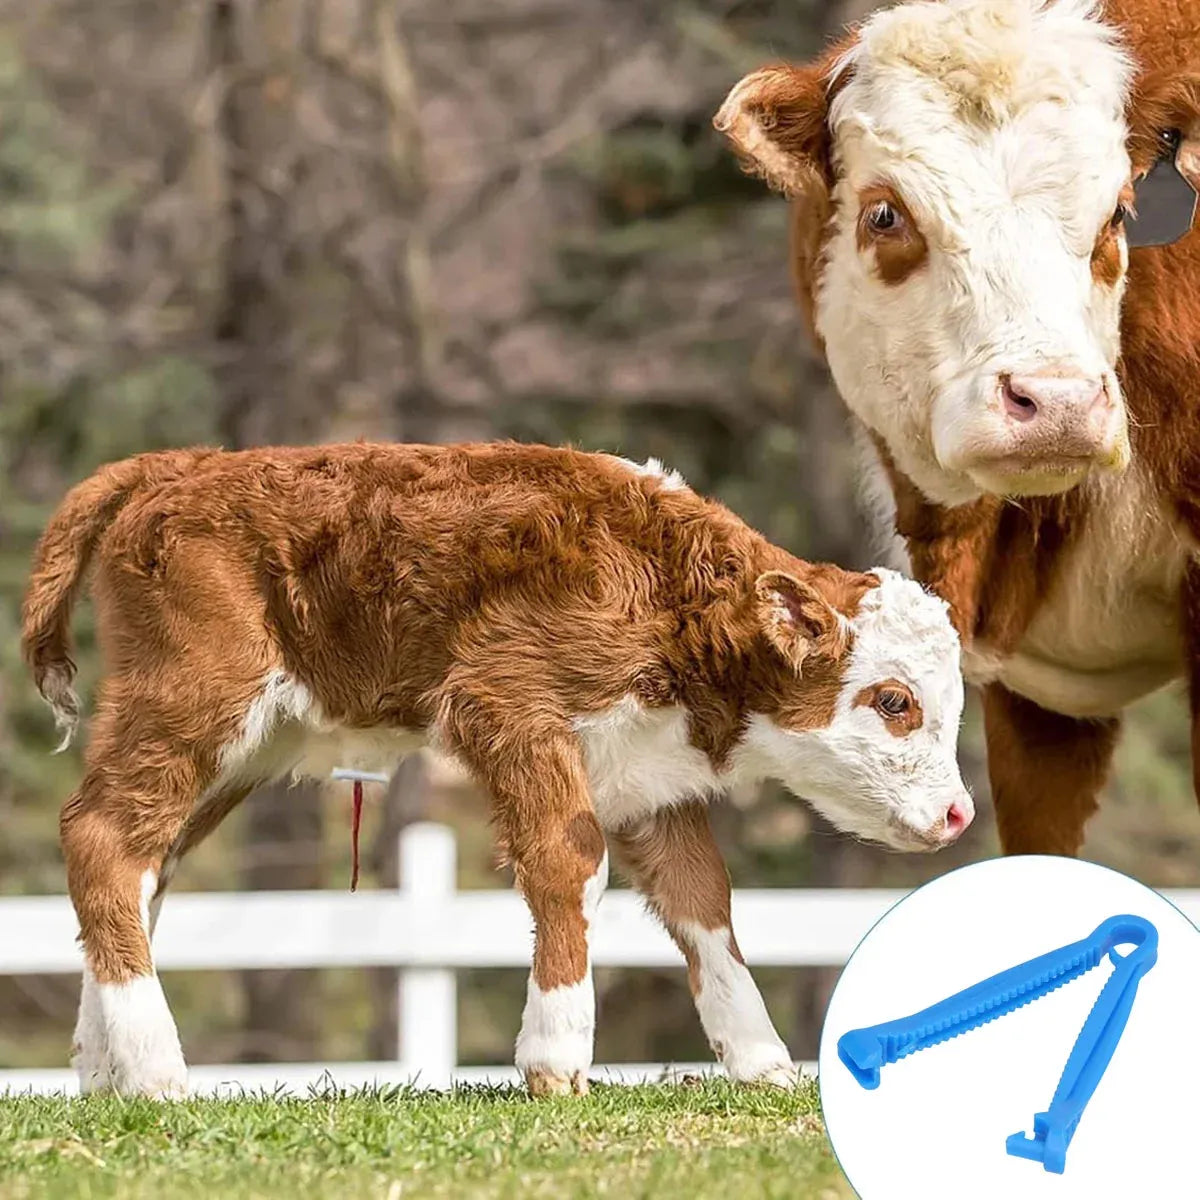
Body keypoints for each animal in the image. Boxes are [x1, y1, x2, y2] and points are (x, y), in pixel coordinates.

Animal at [22, 442, 970, 1099]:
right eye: (894, 700)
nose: (960, 814)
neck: (670, 599)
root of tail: (181, 464)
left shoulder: (647, 780)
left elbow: (703, 902)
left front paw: (763, 1061)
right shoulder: (509, 708)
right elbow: (570, 865)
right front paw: (555, 1057)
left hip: (242, 746)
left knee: (145, 864)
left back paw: (102, 1073)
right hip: (192, 701)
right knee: (102, 839)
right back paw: (156, 1072)